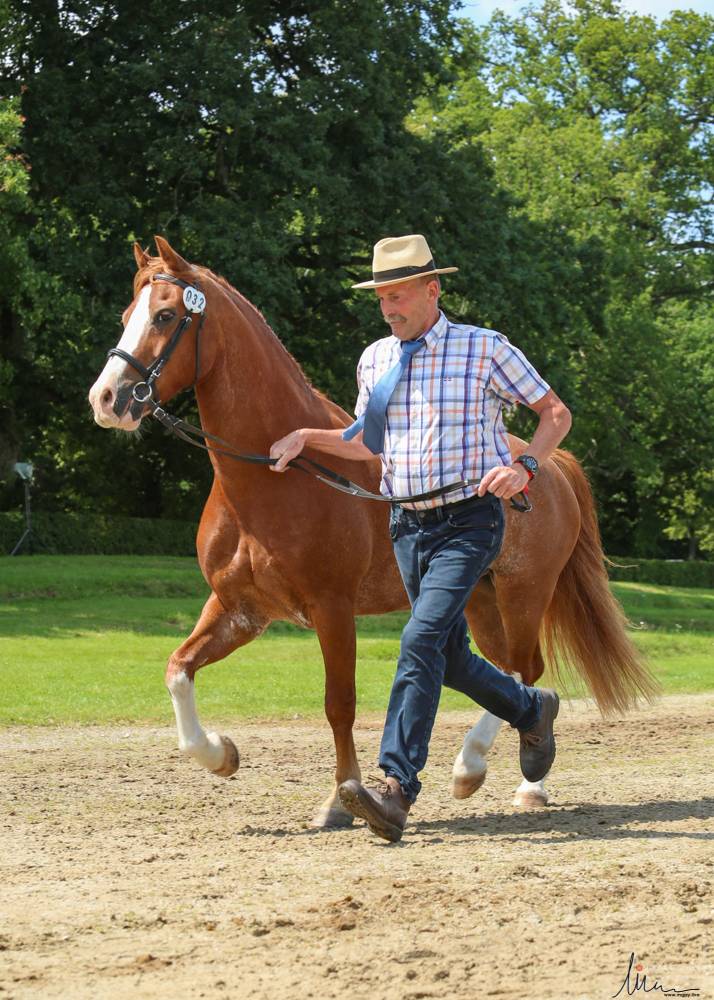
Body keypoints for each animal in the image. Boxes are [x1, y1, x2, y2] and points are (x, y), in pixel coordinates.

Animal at [87, 240, 652, 828]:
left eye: (165, 315)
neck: (279, 475)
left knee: (524, 669)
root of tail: (545, 466)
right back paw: (494, 772)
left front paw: (343, 799)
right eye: (127, 316)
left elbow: (340, 703)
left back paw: (502, 776)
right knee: (500, 671)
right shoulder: (240, 609)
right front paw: (221, 755)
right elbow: (178, 669)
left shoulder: (331, 608)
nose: (106, 399)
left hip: (523, 593)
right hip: (478, 601)